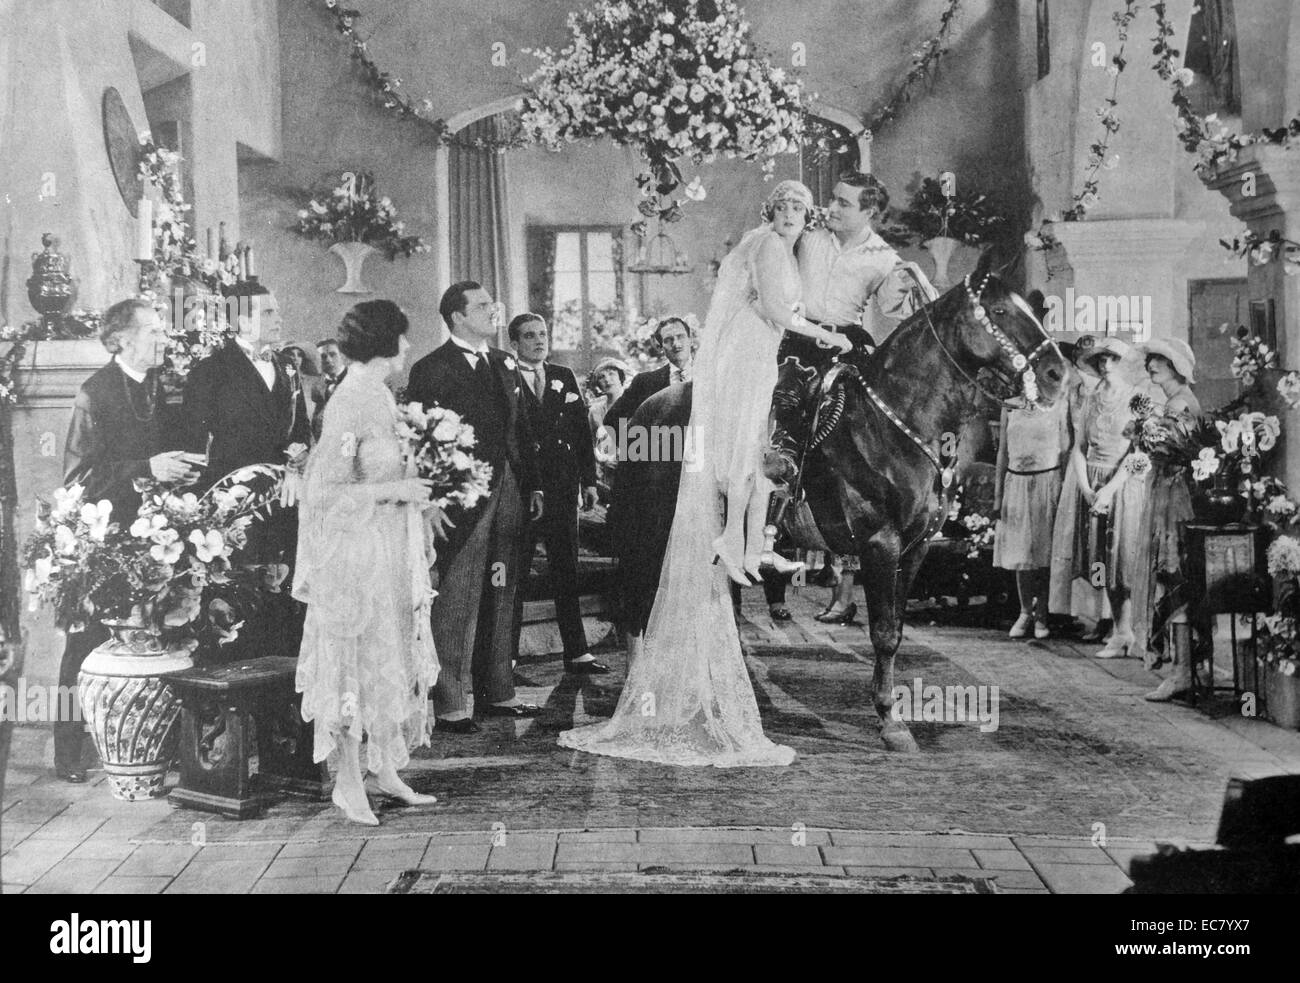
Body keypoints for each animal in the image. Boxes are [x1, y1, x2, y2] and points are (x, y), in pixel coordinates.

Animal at [608, 249, 1066, 748]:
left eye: (1032, 308)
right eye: (999, 311)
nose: (1057, 373)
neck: (892, 422)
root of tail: (647, 407)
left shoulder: (917, 548)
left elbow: (896, 629)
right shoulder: (880, 543)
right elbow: (882, 631)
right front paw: (891, 722)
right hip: (652, 529)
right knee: (636, 601)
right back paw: (638, 694)